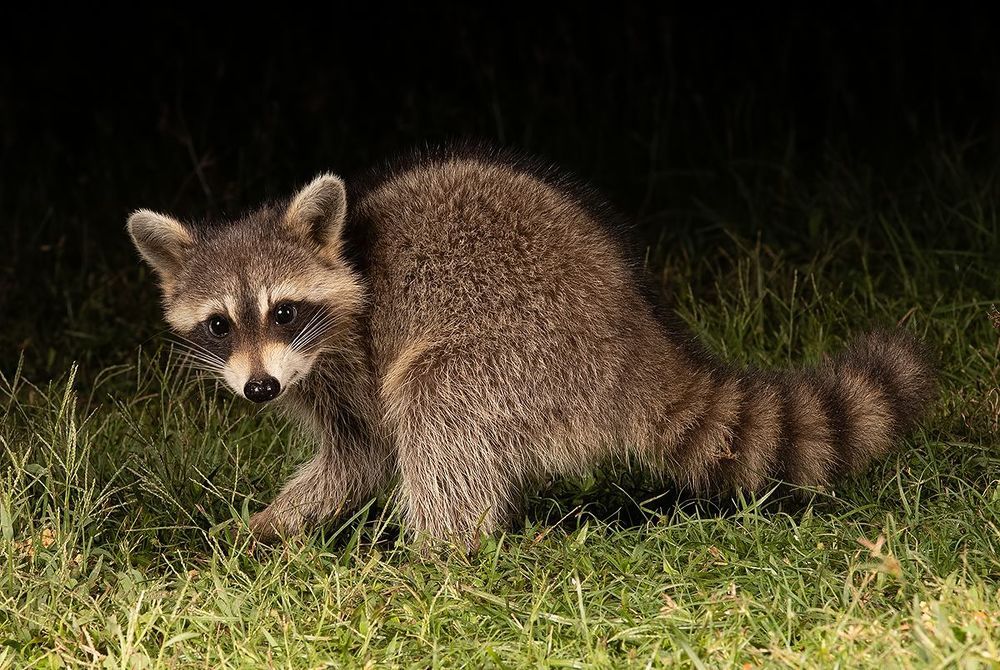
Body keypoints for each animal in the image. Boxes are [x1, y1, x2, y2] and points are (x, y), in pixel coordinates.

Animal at [127, 147, 936, 548]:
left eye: (285, 310)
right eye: (219, 324)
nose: (260, 389)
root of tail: (638, 341)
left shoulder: (353, 355)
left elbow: (371, 451)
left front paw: (283, 521)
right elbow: (351, 459)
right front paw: (270, 524)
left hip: (524, 353)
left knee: (437, 400)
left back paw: (438, 552)